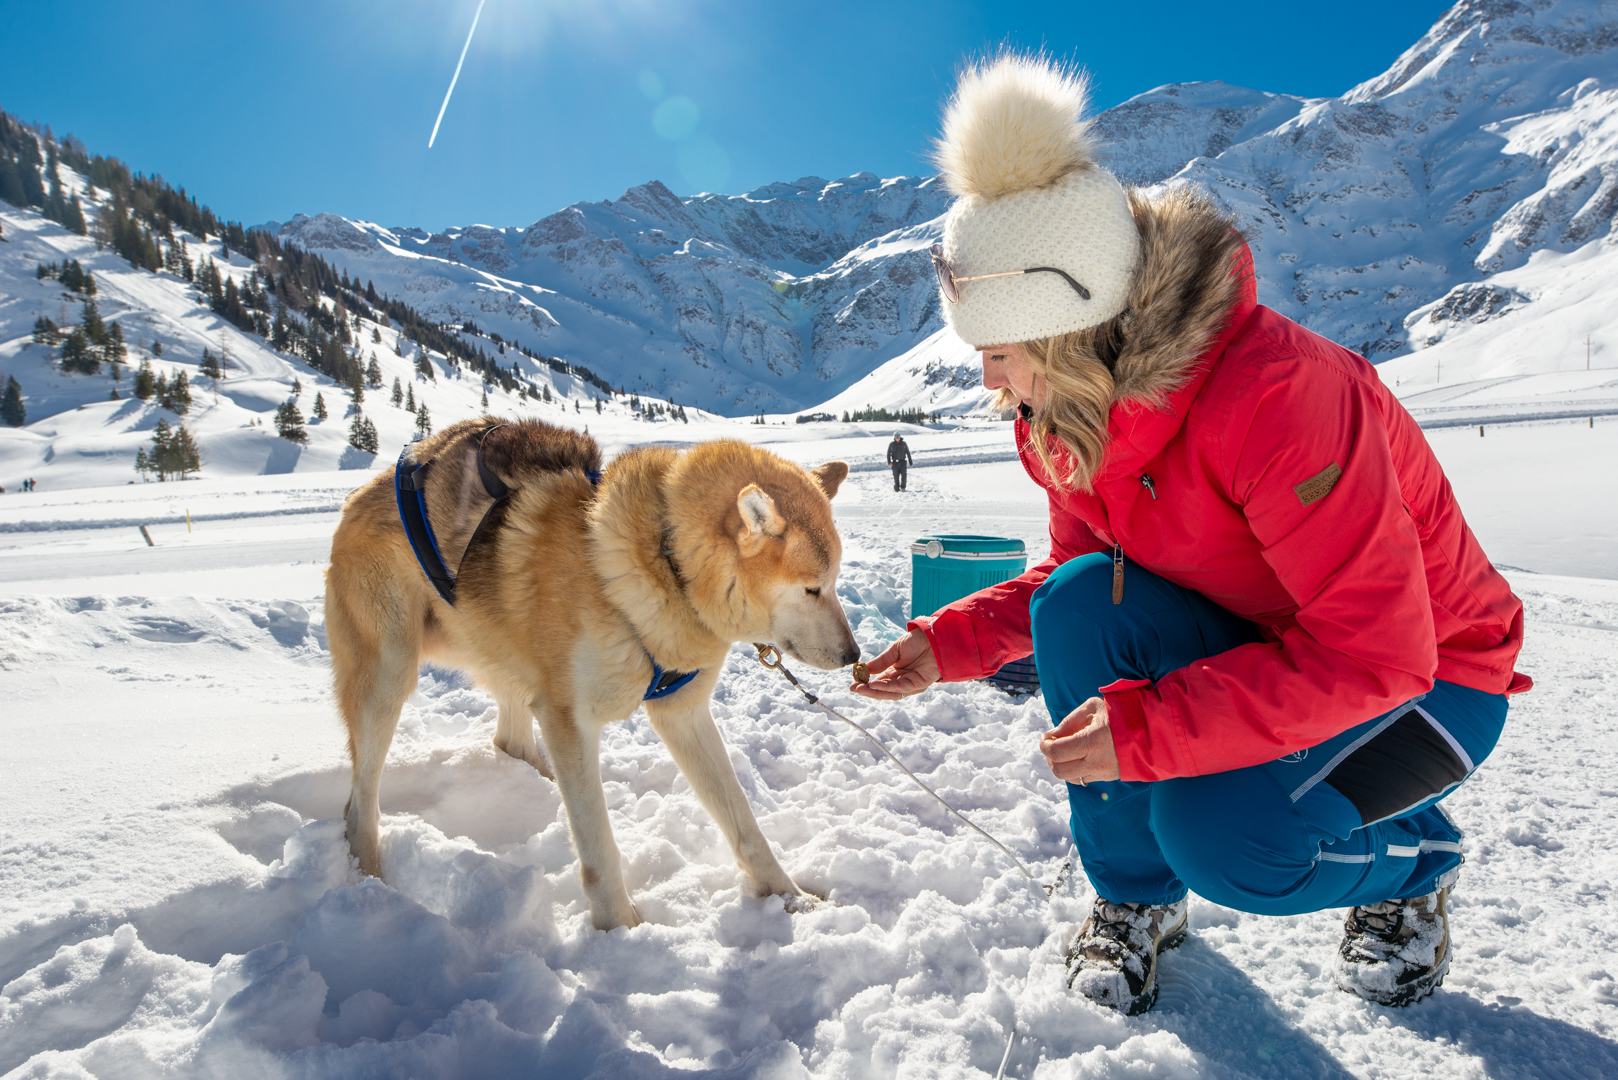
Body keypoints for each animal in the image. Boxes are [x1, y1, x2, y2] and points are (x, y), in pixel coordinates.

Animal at [325, 420, 860, 932]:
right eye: (813, 589)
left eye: (834, 583)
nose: (853, 654)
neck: (666, 560)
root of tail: (363, 490)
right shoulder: (570, 721)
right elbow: (599, 847)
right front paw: (621, 931)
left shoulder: (682, 714)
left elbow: (745, 826)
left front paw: (791, 898)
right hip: (388, 679)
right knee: (359, 805)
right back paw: (371, 883)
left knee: (510, 742)